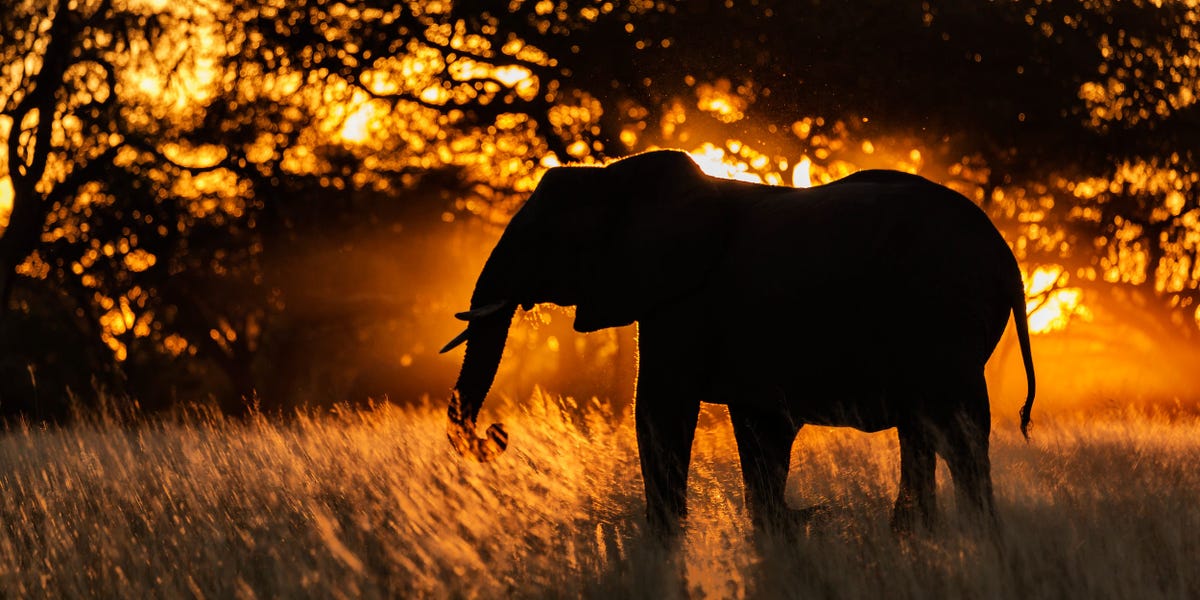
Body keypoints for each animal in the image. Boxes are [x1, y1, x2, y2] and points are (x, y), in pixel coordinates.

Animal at [441, 150, 1035, 538]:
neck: (616, 177)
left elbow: (660, 411)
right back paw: (918, 540)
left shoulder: (683, 300)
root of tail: (1007, 258)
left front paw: (666, 546)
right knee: (928, 430)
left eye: (547, 237)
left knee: (957, 434)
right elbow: (758, 432)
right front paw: (778, 533)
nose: (497, 434)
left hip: (942, 316)